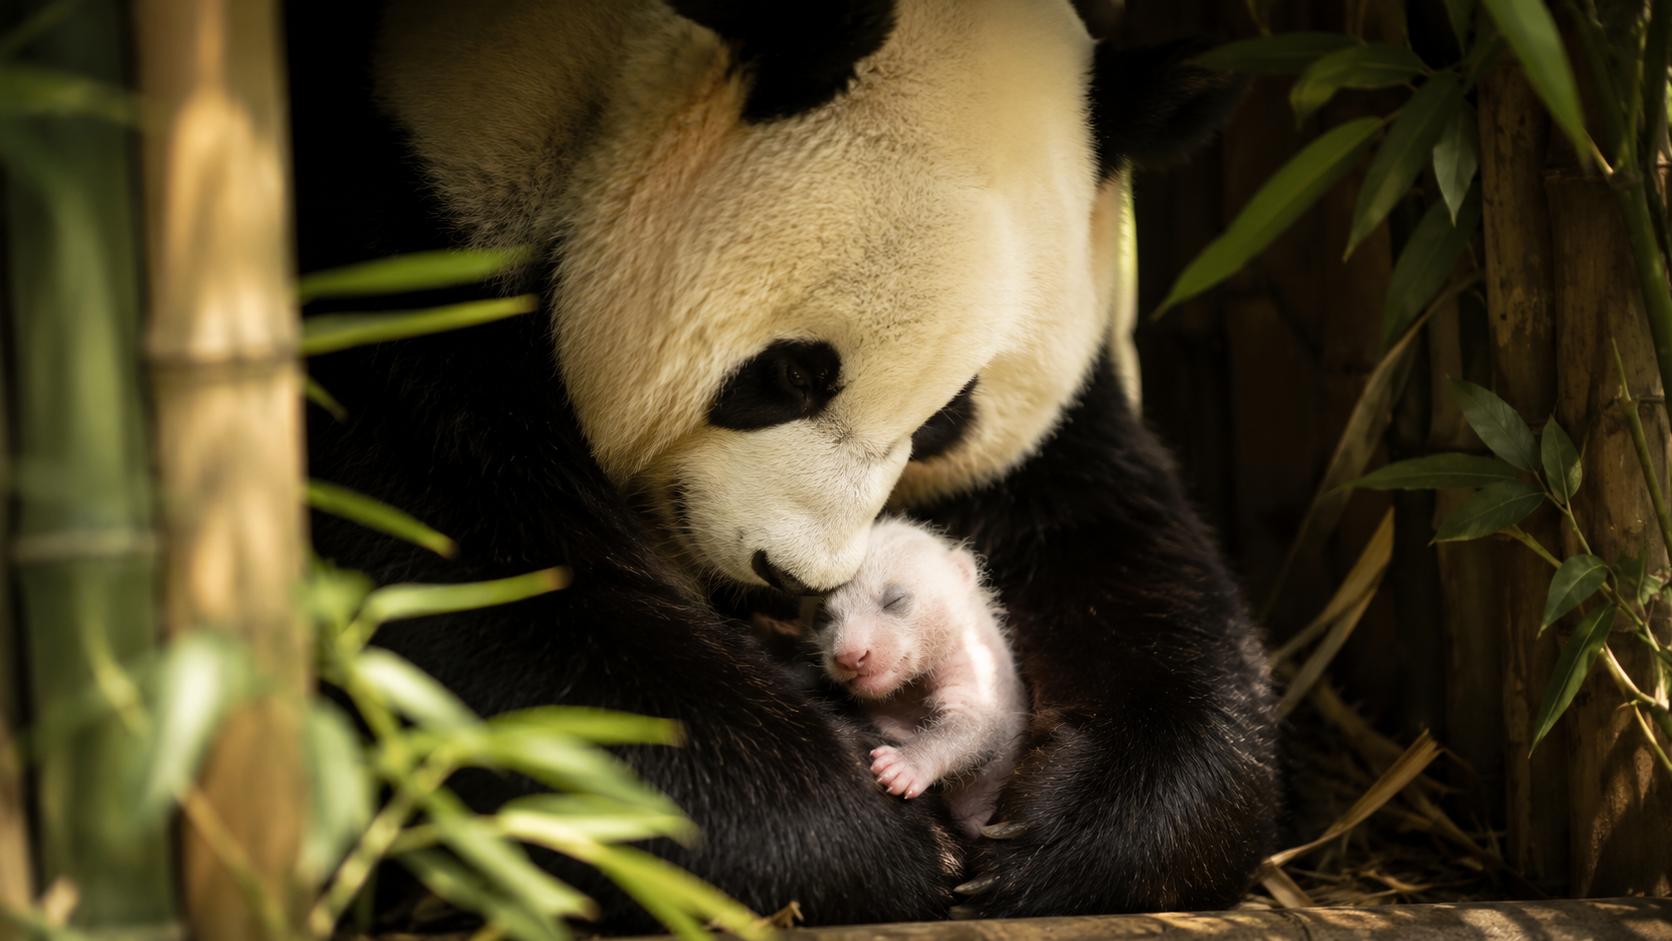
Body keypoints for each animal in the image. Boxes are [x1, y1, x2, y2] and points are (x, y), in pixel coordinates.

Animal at [293, 0, 1278, 931]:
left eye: (946, 418)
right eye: (794, 373)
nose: (794, 575)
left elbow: (1122, 559)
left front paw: (1057, 832)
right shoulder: (393, 264)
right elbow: (488, 589)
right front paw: (873, 836)